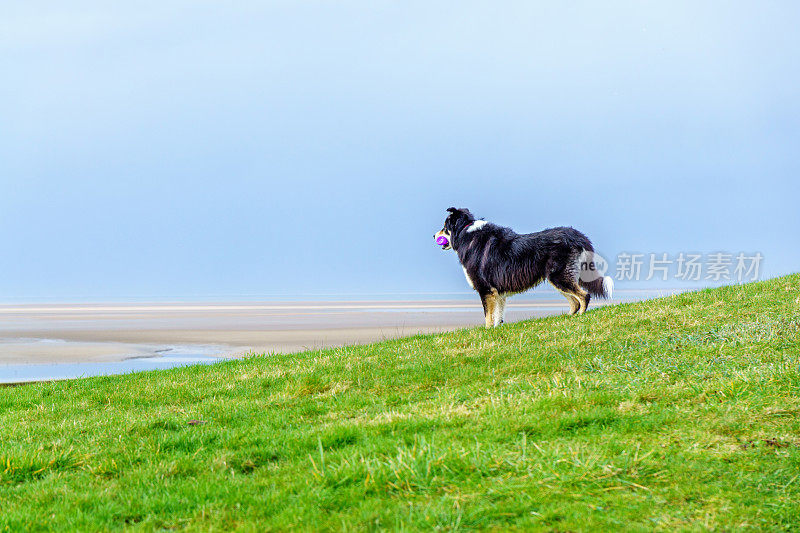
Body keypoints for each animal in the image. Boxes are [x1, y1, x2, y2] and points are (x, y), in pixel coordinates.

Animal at [438, 207, 612, 324]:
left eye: (444, 227)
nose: (434, 235)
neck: (465, 231)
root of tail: (577, 235)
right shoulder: (497, 292)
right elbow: (498, 317)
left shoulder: (485, 289)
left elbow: (488, 317)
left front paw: (487, 332)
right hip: (558, 278)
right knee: (575, 301)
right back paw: (567, 318)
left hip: (559, 276)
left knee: (584, 296)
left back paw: (580, 317)